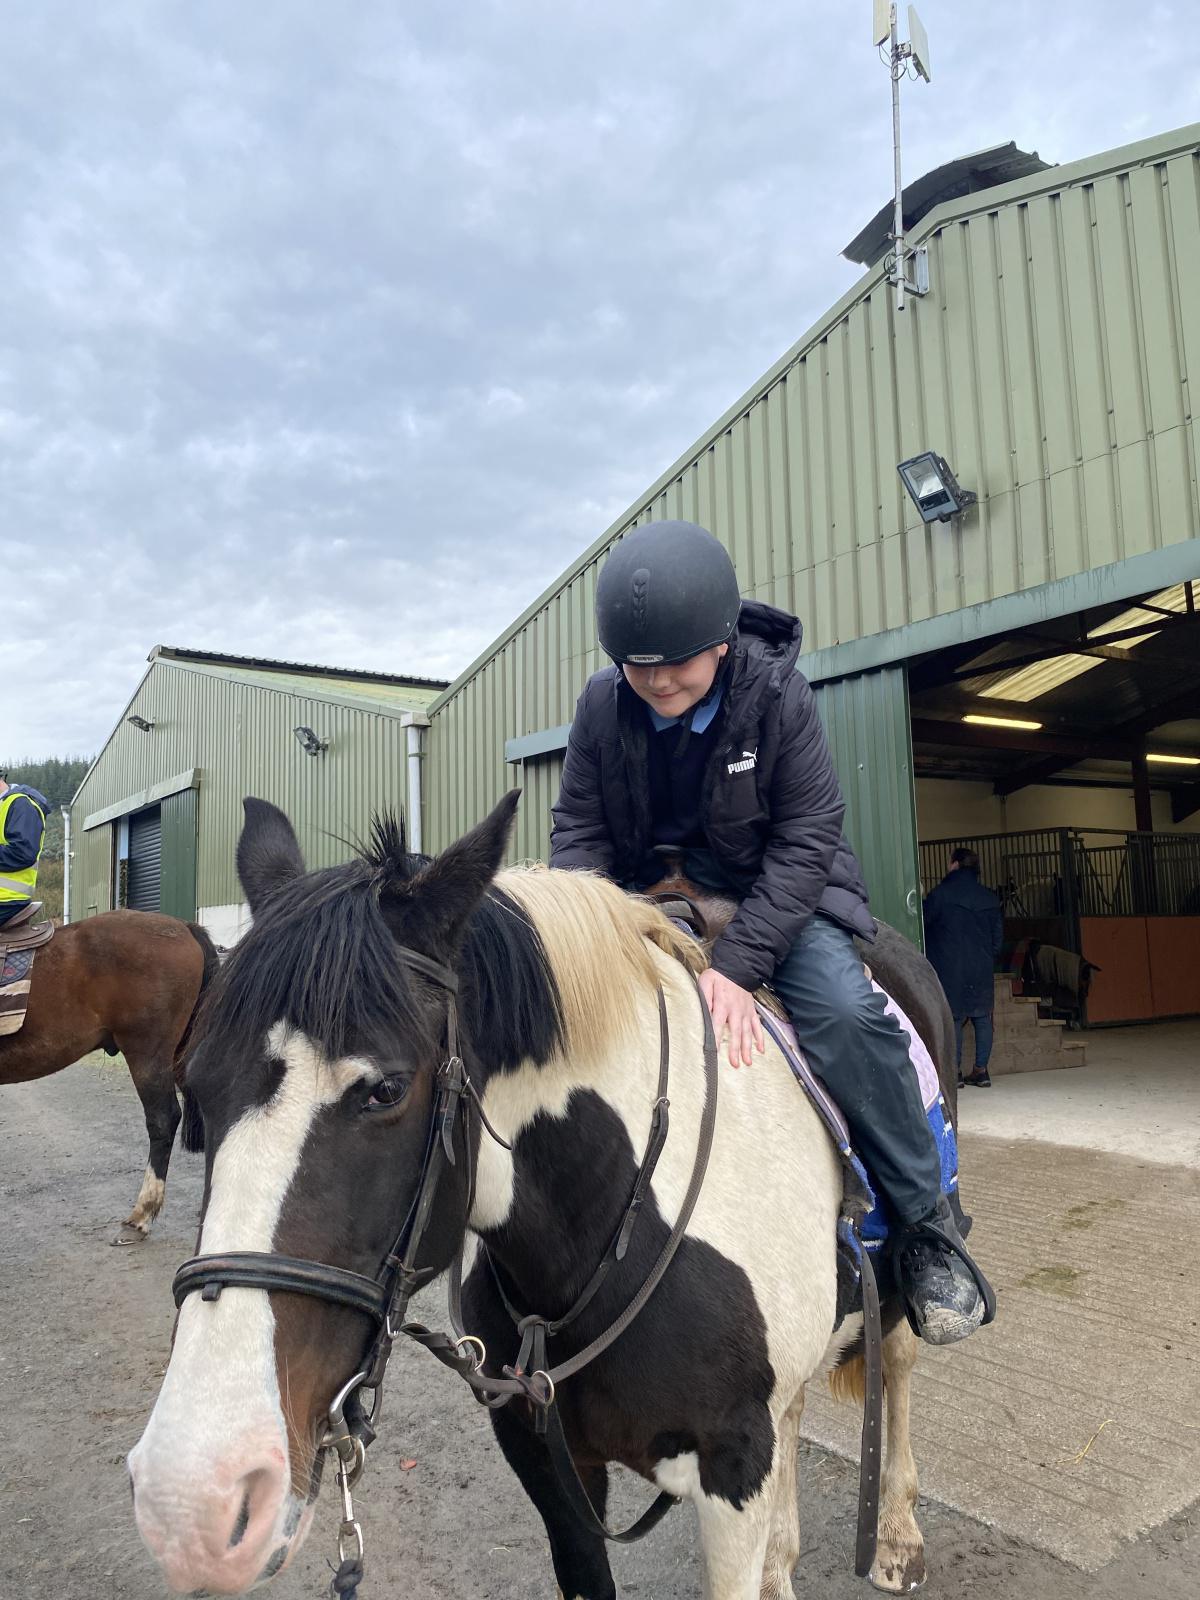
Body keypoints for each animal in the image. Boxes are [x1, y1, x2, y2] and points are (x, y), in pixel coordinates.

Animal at [130, 791, 953, 1598]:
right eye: (197, 1084)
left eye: (386, 1089)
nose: (194, 1497)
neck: (613, 1229)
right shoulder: (546, 1457)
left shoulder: (734, 1469)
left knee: (901, 1362)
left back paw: (898, 1536)